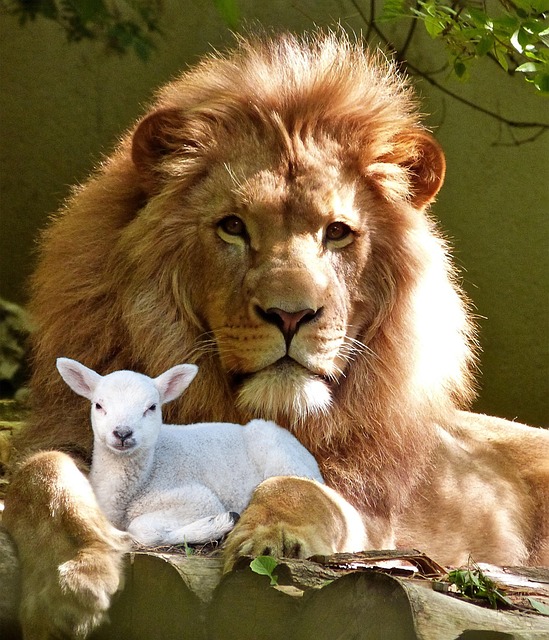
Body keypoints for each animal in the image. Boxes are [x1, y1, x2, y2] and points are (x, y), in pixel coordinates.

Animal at [3, 31, 548, 638]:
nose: (292, 316)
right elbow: (40, 474)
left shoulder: (369, 519)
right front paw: (71, 578)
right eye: (233, 226)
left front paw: (273, 538)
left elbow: (303, 489)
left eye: (337, 233)